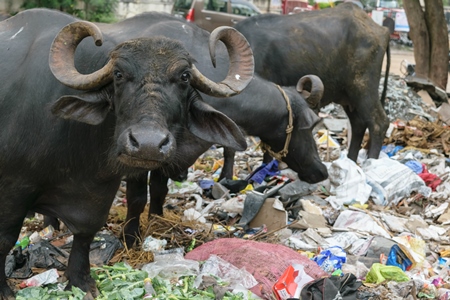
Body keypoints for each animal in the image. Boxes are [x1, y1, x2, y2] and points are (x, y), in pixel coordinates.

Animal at [0, 8, 255, 298]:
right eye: (119, 75)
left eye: (184, 77)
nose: (148, 143)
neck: (74, 157)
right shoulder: (13, 190)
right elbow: (6, 239)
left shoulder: (99, 191)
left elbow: (86, 233)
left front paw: (79, 280)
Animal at [234, 2, 392, 162]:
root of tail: (383, 30)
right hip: (347, 95)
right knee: (358, 124)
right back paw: (351, 160)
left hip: (363, 87)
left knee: (379, 123)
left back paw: (371, 161)